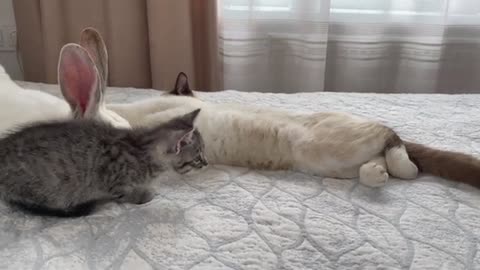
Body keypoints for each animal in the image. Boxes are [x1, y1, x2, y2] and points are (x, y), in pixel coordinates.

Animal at [0, 108, 206, 216]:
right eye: (197, 158)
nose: (206, 163)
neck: (141, 148)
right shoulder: (113, 181)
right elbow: (126, 194)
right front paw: (144, 194)